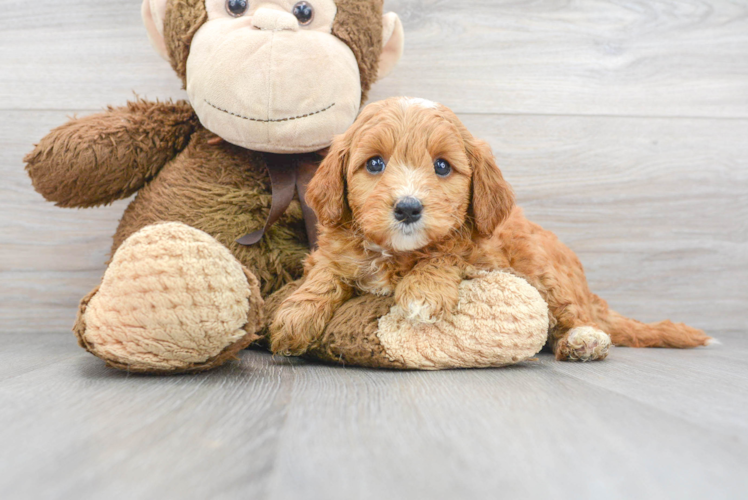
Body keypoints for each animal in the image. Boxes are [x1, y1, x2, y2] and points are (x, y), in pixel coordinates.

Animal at [270, 97, 712, 362]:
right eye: (375, 164)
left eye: (442, 166)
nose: (408, 208)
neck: (397, 252)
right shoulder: (335, 248)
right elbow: (325, 273)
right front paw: (294, 318)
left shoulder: (480, 253)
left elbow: (446, 254)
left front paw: (424, 290)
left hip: (545, 272)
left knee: (574, 317)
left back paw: (583, 340)